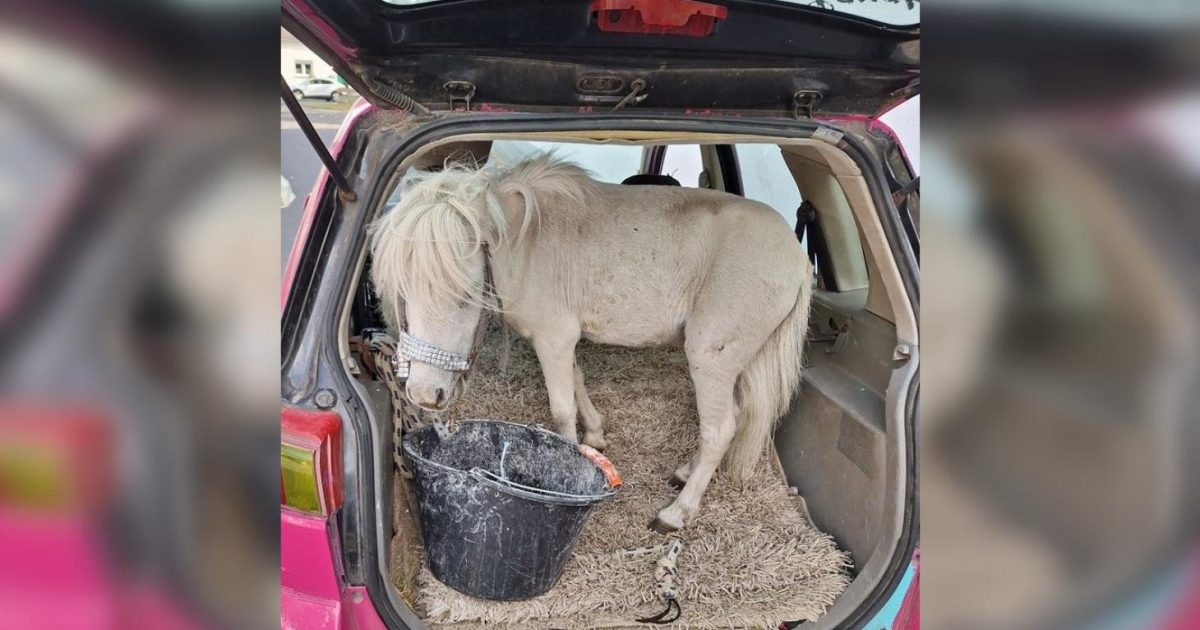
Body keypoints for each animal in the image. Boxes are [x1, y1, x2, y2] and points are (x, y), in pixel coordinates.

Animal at [369, 154, 811, 531]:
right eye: (402, 293)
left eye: (464, 295)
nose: (425, 395)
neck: (525, 245)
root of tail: (797, 258)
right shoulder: (562, 340)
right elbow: (578, 380)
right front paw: (595, 434)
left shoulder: (553, 338)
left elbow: (562, 411)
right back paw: (685, 472)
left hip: (711, 358)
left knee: (719, 429)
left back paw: (676, 512)